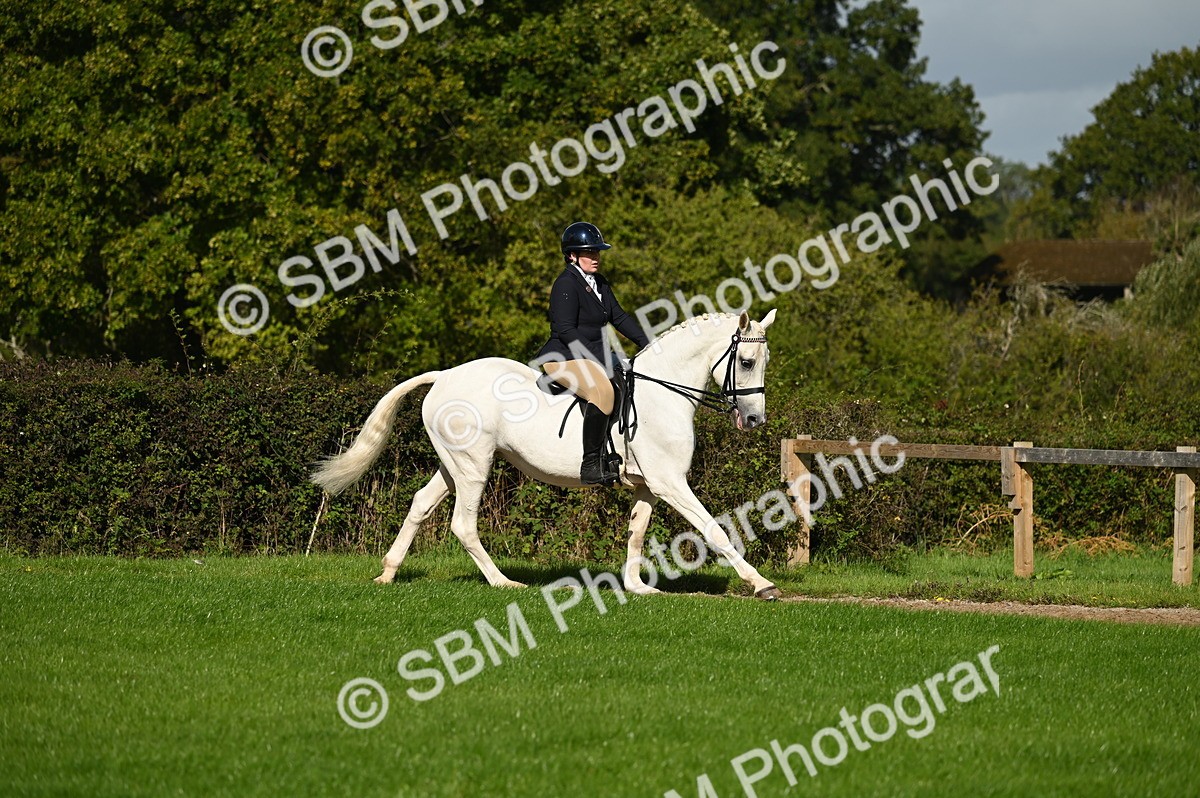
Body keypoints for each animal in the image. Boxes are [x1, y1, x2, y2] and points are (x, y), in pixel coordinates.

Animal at [311, 309, 782, 599]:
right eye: (746, 360)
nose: (754, 419)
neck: (662, 393)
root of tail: (444, 375)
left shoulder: (649, 485)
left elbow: (636, 532)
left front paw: (637, 587)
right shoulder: (670, 483)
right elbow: (716, 531)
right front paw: (761, 585)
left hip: (452, 465)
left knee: (421, 505)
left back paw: (388, 572)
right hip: (474, 465)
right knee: (462, 524)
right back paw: (503, 582)